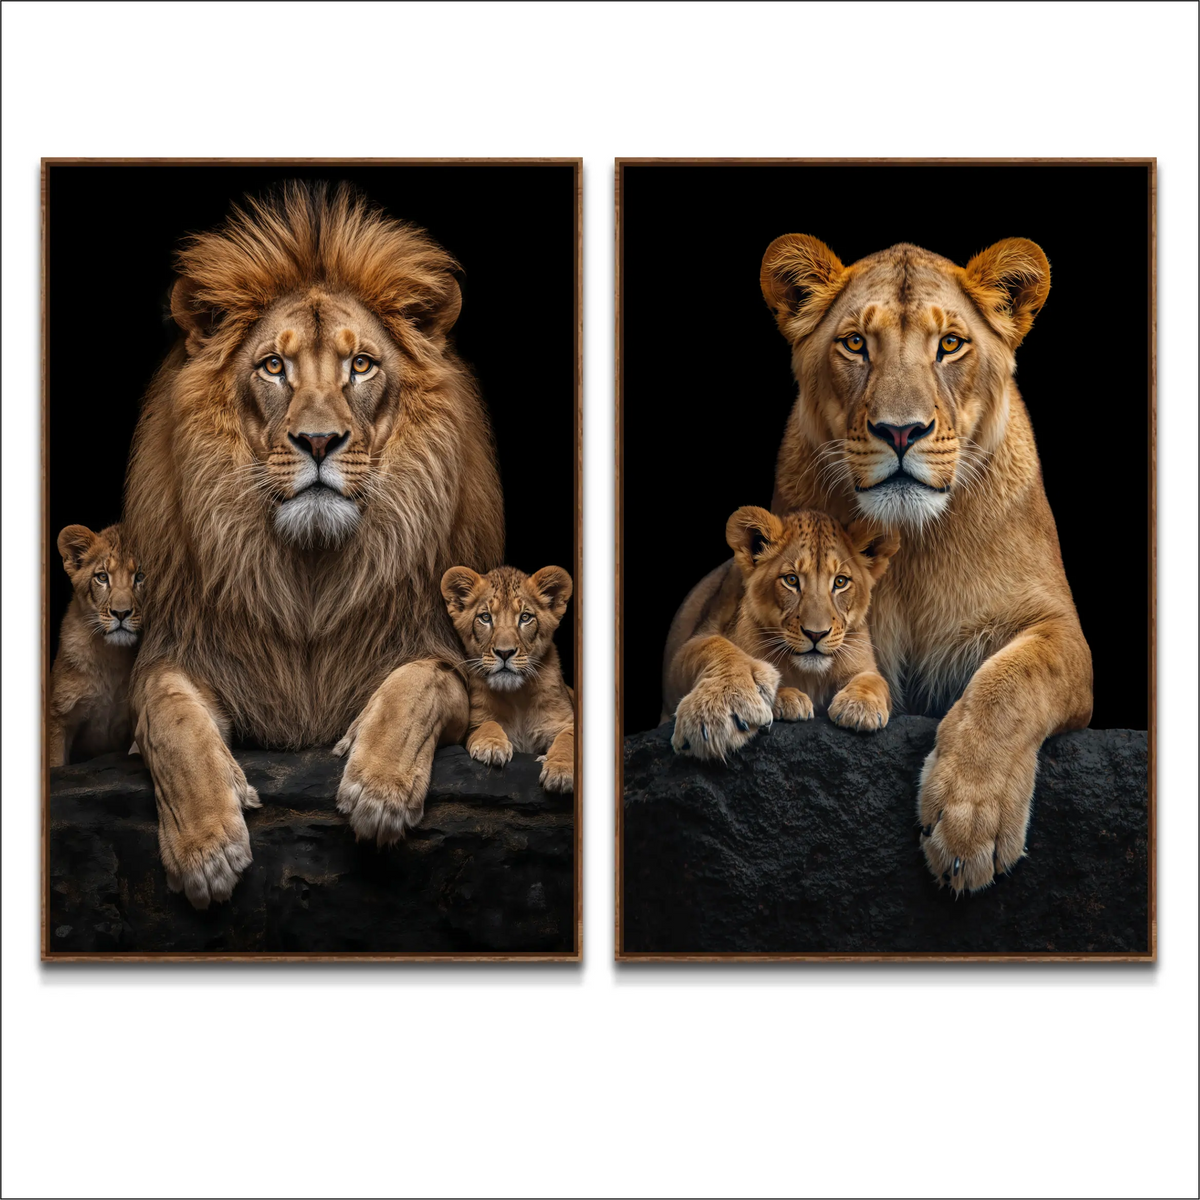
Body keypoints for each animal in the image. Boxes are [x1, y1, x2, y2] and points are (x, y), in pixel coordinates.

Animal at [48, 523, 144, 766]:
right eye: (102, 577)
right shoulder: (59, 717)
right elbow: (56, 764)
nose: (121, 613)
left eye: (140, 576)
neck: (110, 655)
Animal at [122, 182, 505, 908]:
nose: (320, 441)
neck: (310, 576)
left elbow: (419, 684)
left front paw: (379, 791)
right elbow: (167, 717)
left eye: (361, 365)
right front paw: (206, 850)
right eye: (275, 366)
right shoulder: (181, 654)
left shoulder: (445, 651)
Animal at [440, 564, 575, 793]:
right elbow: (487, 724)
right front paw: (492, 746)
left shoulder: (567, 720)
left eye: (525, 617)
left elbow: (568, 739)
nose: (505, 652)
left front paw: (561, 771)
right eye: (485, 618)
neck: (517, 696)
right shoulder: (473, 722)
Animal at [663, 507, 899, 760]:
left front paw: (860, 706)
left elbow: (875, 680)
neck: (809, 675)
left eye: (840, 582)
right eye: (791, 580)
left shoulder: (863, 662)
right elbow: (711, 646)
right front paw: (786, 698)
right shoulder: (685, 654)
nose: (816, 634)